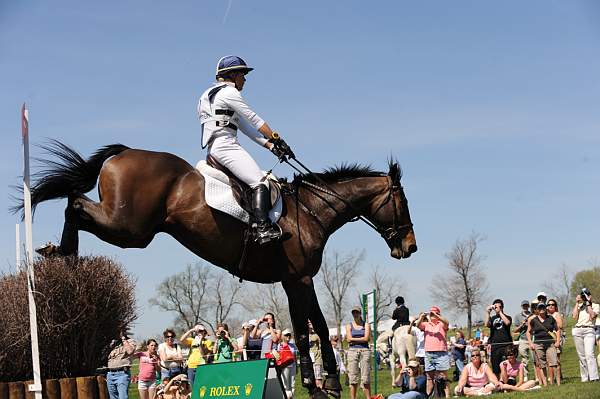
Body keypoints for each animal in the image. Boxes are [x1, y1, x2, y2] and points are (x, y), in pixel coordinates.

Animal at [22, 142, 418, 398]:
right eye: (402, 202)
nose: (410, 247)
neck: (310, 211)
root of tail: (124, 152)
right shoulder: (297, 280)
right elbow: (307, 332)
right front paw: (316, 385)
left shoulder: (300, 280)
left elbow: (319, 326)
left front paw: (328, 383)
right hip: (129, 228)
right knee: (75, 203)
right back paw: (63, 252)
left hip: (130, 228)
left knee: (75, 203)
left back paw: (61, 255)